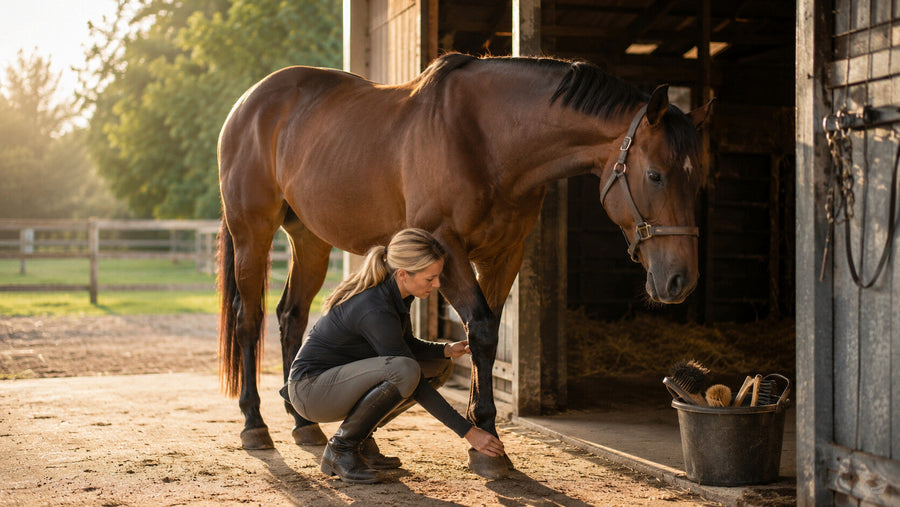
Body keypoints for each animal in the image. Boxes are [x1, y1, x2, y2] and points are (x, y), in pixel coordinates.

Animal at [216, 52, 711, 479]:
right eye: (655, 175)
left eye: (699, 181)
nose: (680, 280)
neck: (488, 137)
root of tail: (247, 103)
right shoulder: (446, 248)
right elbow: (482, 330)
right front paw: (487, 439)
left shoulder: (505, 255)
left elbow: (482, 338)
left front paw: (483, 438)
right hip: (252, 233)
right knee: (249, 320)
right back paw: (254, 424)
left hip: (310, 240)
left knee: (291, 317)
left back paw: (303, 422)